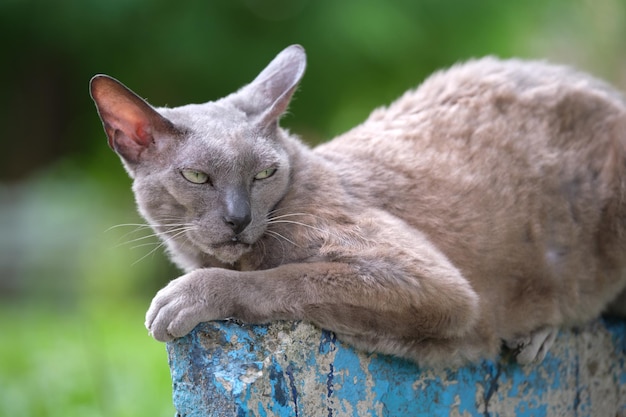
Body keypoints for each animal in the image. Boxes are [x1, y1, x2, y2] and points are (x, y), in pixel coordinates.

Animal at [89, 44, 624, 366]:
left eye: (263, 174)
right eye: (198, 176)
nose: (239, 219)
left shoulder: (435, 284)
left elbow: (287, 278)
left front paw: (185, 297)